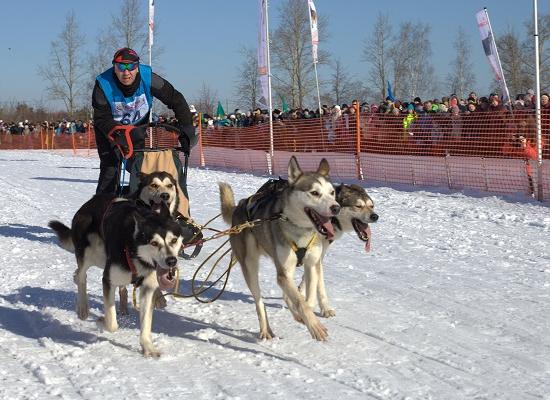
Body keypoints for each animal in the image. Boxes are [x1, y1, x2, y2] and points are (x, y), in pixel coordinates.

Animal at [219, 156, 340, 340]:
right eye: (314, 193)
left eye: (332, 192)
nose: (336, 207)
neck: (300, 230)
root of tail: (240, 205)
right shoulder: (284, 272)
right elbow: (299, 301)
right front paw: (314, 326)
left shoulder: (312, 264)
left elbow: (307, 298)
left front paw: (308, 315)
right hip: (250, 265)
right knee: (259, 302)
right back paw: (265, 329)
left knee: (286, 295)